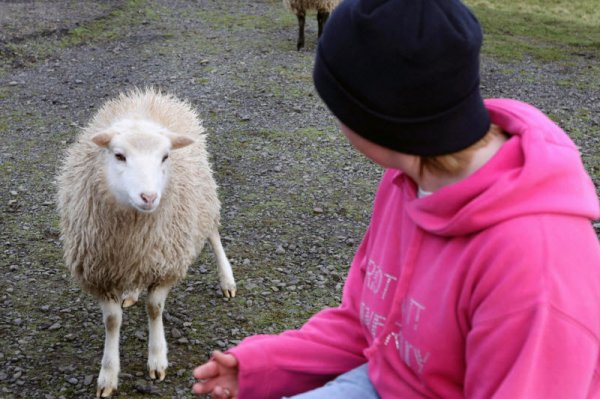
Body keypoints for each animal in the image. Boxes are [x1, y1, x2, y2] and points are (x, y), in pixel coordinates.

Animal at [55, 89, 236, 398]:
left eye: (165, 156)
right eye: (119, 155)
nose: (149, 197)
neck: (134, 232)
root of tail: (149, 95)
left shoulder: (166, 262)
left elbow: (155, 309)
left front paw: (157, 358)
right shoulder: (100, 272)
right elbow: (112, 321)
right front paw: (108, 374)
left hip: (204, 201)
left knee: (213, 234)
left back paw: (227, 279)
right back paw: (131, 292)